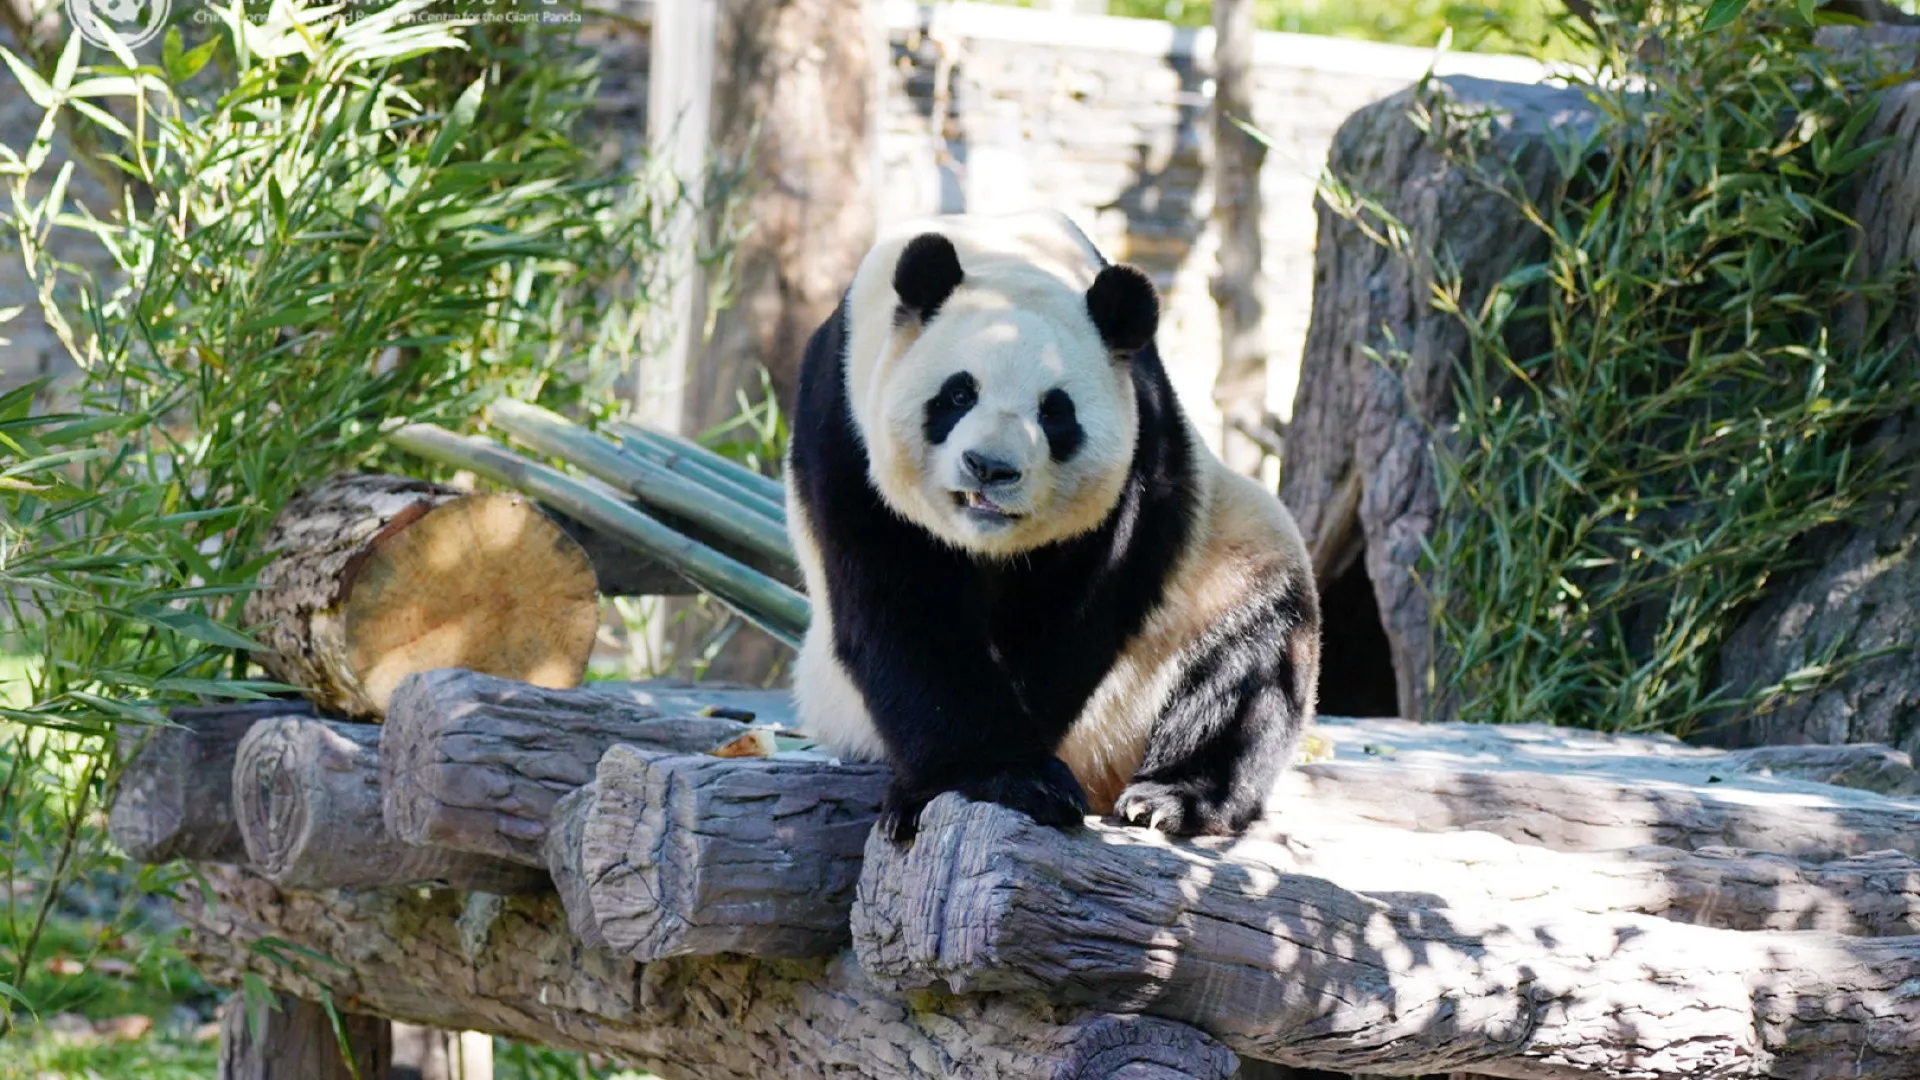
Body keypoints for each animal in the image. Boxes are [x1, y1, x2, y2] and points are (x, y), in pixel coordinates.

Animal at [786, 211, 1320, 844]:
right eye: (958, 393)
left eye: (1055, 411)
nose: (990, 467)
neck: (1007, 250)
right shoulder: (843, 424)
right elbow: (904, 611)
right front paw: (992, 780)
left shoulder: (1142, 448)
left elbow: (1082, 615)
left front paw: (1016, 775)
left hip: (1222, 566)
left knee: (1251, 663)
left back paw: (1173, 798)